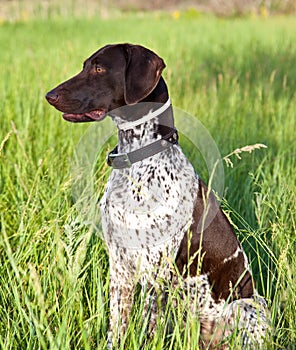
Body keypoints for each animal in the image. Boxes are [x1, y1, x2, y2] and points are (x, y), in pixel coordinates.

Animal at [45, 43, 268, 348]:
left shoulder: (155, 275)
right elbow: (117, 327)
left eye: (100, 68)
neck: (138, 161)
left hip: (247, 305)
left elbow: (147, 330)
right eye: (85, 65)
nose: (50, 95)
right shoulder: (120, 268)